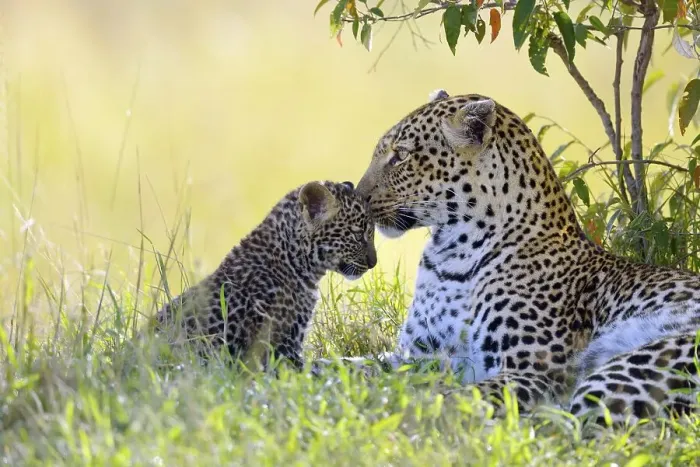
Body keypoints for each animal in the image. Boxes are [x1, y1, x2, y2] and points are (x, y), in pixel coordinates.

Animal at [345, 88, 700, 426]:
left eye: (401, 156)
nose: (357, 196)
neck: (451, 256)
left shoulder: (531, 371)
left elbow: (449, 398)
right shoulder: (415, 354)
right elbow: (351, 366)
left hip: (626, 370)